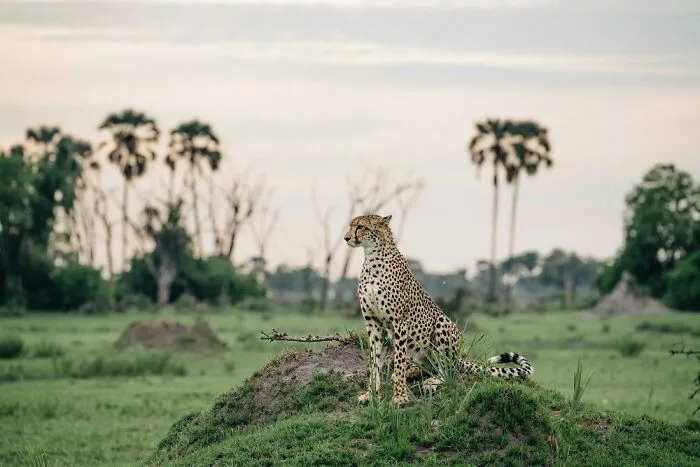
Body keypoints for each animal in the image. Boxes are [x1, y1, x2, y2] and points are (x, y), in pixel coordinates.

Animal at [343, 213, 534, 406]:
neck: (372, 257)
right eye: (351, 226)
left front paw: (399, 396)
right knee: (423, 366)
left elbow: (398, 361)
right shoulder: (372, 322)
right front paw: (371, 394)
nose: (346, 238)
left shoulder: (399, 322)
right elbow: (374, 361)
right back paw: (410, 371)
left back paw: (432, 381)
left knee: (448, 371)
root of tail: (457, 358)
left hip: (443, 324)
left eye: (360, 226)